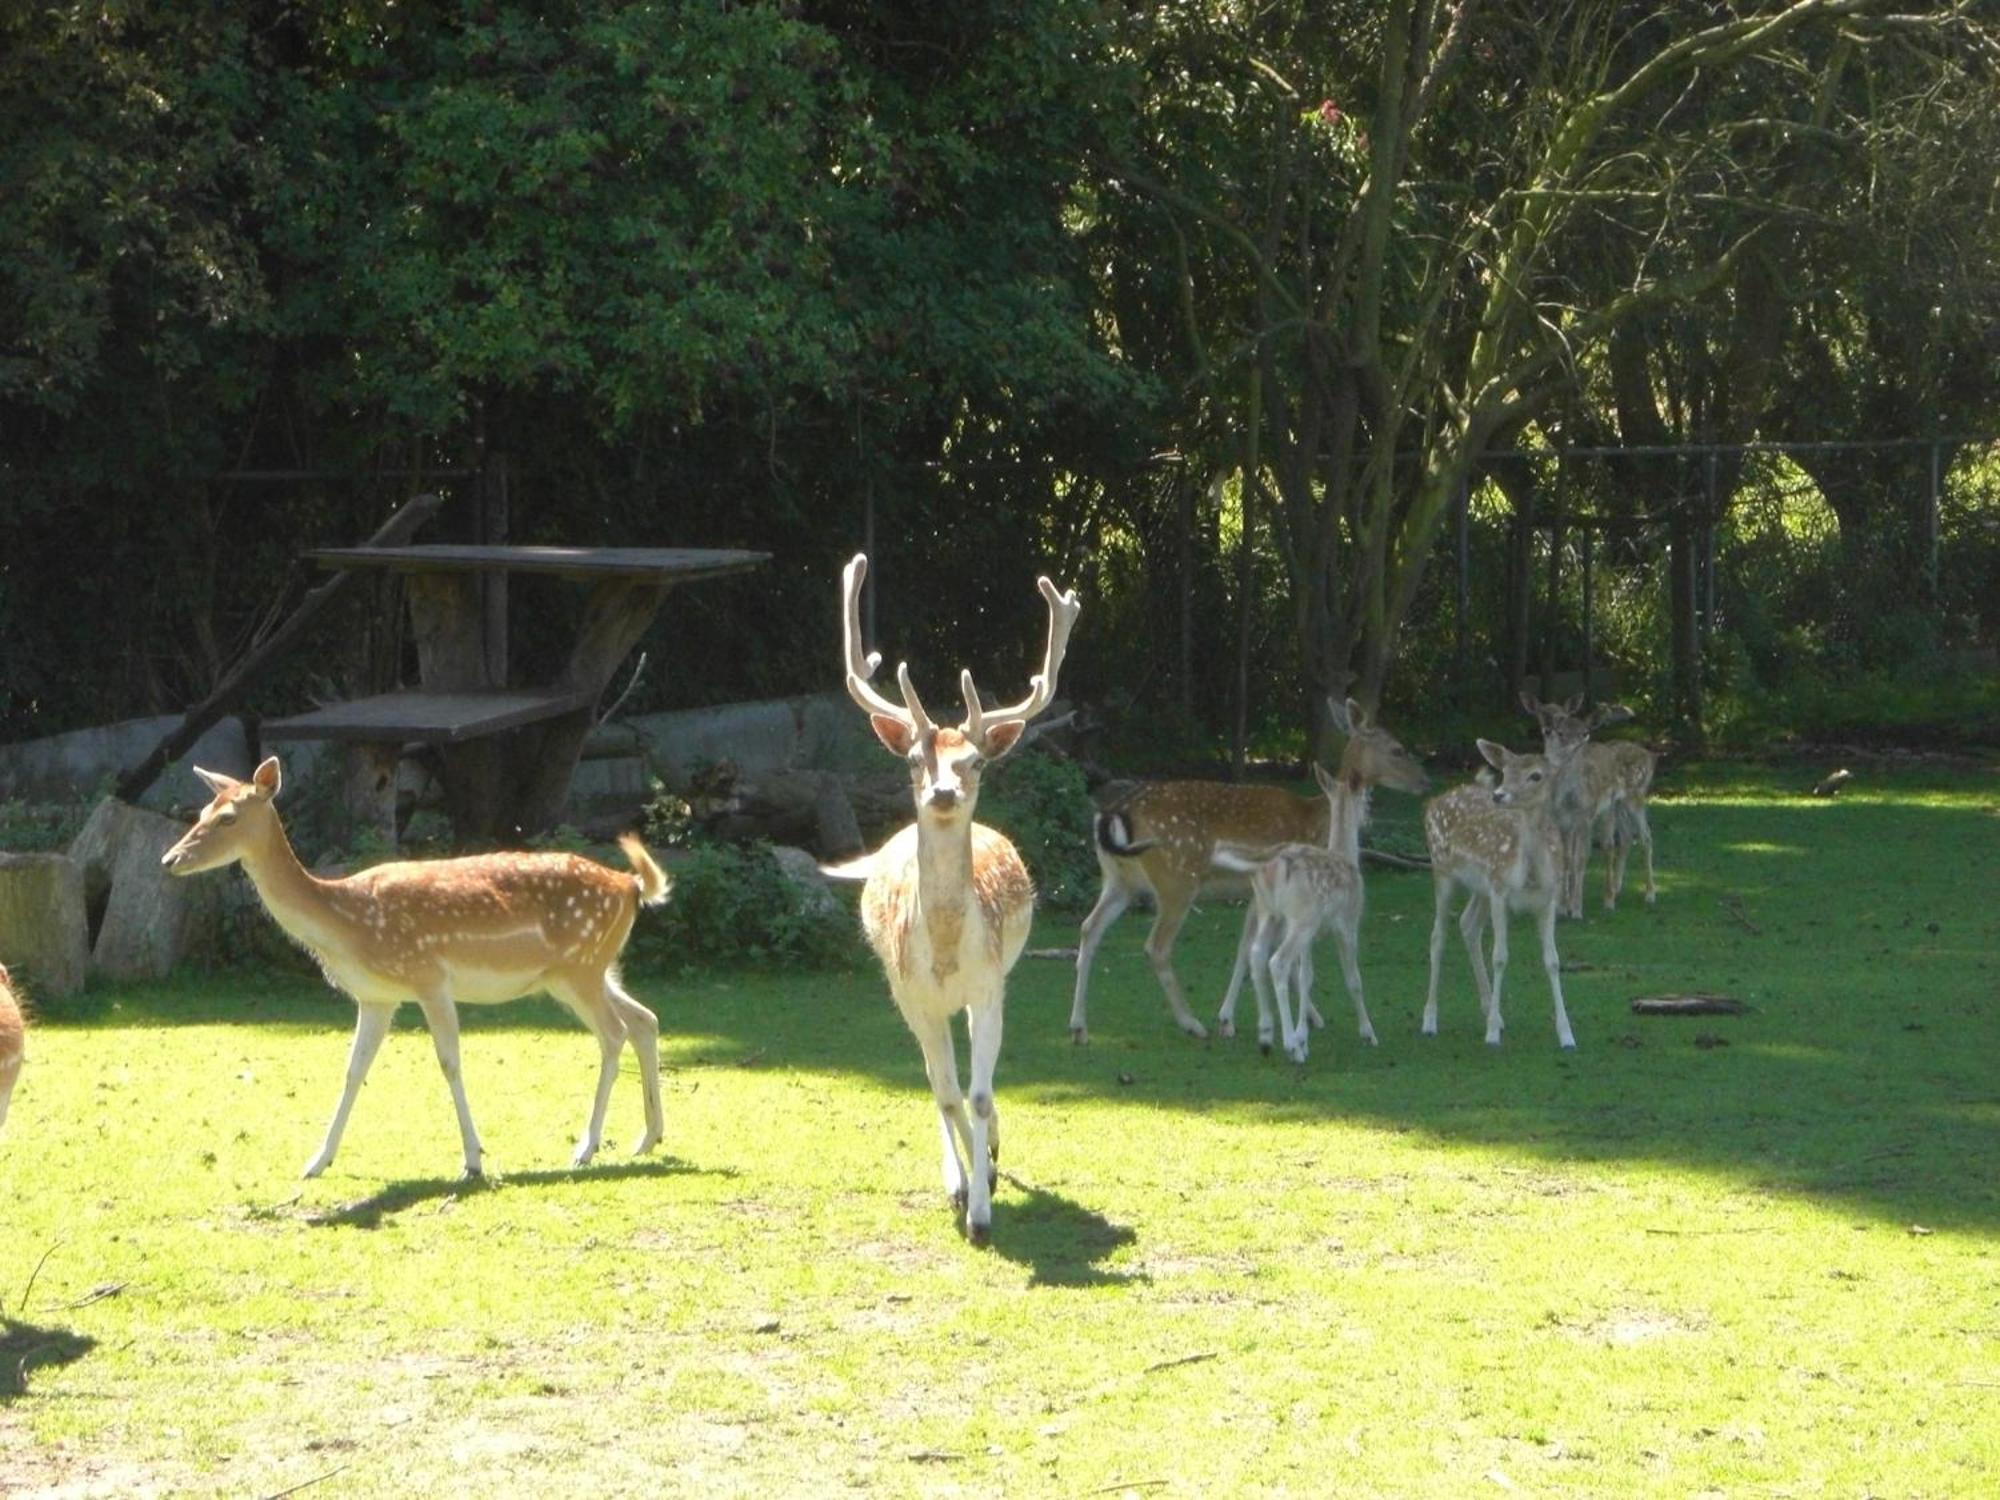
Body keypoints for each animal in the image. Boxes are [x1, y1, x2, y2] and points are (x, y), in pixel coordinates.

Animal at [162, 764, 672, 1184]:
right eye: (202, 811)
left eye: (228, 818)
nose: (169, 860)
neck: (348, 925)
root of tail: (631, 886)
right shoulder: (376, 996)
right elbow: (353, 1069)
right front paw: (317, 1161)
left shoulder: (429, 977)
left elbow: (449, 1062)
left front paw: (473, 1160)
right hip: (586, 970)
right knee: (645, 1019)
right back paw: (648, 1138)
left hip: (579, 966)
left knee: (614, 1032)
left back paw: (586, 1147)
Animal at [820, 552, 1080, 1248]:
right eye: (915, 758)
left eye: (976, 762)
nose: (941, 791)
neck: (940, 951)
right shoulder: (913, 994)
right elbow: (946, 1090)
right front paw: (969, 1191)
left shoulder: (989, 983)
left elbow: (981, 1093)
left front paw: (985, 1210)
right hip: (907, 997)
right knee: (937, 1078)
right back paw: (962, 1173)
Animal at [1208, 704, 1432, 1064]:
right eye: (1397, 749)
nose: (1425, 781)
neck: (1343, 852)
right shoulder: (1347, 923)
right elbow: (1352, 979)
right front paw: (1366, 1033)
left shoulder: (1311, 933)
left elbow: (1307, 975)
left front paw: (1304, 1032)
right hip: (1296, 917)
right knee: (1272, 960)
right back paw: (1276, 1039)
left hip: (1273, 913)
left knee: (1256, 954)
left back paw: (1265, 1031)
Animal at [1424, 740, 1576, 1048]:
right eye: (1505, 771)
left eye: (1536, 775)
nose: (1498, 794)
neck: (1529, 876)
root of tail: (1433, 802)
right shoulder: (1499, 892)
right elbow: (1500, 956)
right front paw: (1492, 1035)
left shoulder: (1549, 898)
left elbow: (1553, 960)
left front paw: (1566, 1035)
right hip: (1442, 870)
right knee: (1437, 937)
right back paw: (1430, 1021)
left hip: (1481, 888)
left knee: (1468, 924)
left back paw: (1491, 1012)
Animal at [1520, 692, 1664, 916]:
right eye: (1541, 714)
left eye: (1585, 733)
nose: (1548, 729)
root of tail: (1651, 756)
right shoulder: (1561, 819)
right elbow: (1567, 857)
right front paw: (1563, 906)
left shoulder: (1585, 816)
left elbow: (1579, 857)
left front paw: (1575, 907)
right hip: (1617, 806)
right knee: (1625, 836)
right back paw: (1616, 889)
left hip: (1636, 795)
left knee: (1645, 836)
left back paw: (1649, 894)